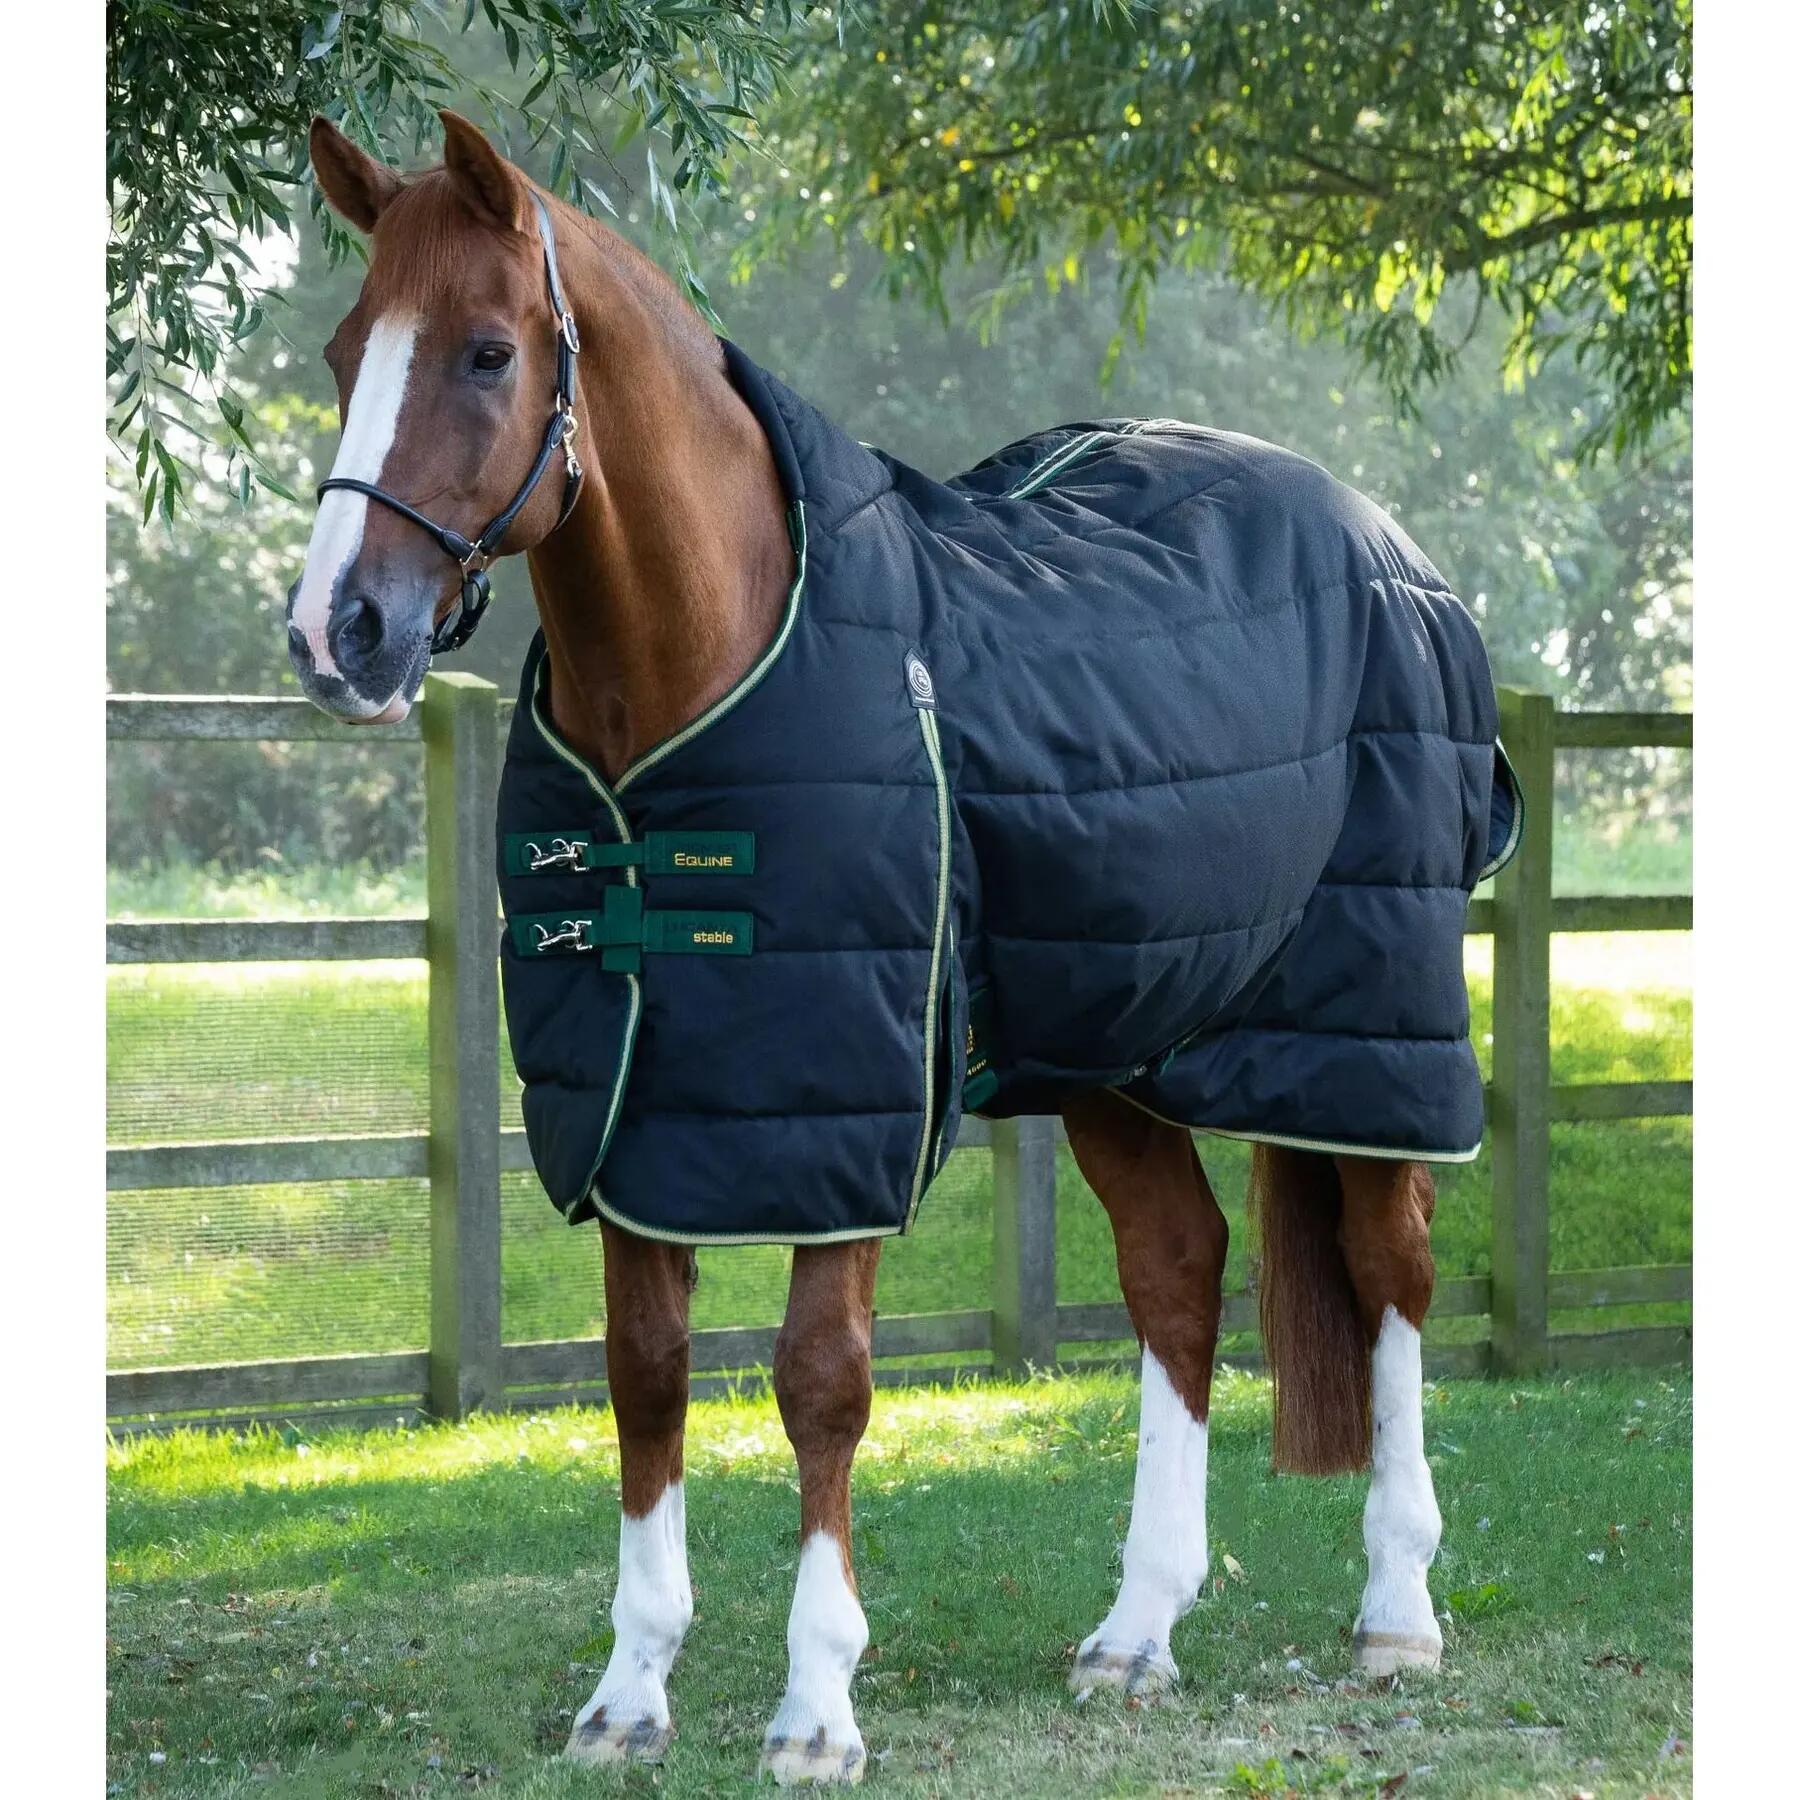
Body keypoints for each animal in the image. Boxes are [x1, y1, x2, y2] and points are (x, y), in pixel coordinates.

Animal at [286, 111, 1462, 1784]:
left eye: (487, 353)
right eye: (343, 350)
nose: (340, 633)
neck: (716, 662)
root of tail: (1383, 544)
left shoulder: (845, 1096)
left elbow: (820, 1382)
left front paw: (816, 1706)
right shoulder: (646, 1104)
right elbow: (645, 1372)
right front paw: (629, 1691)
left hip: (1373, 1028)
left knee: (1392, 1270)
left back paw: (1397, 1613)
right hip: (1116, 1046)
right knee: (1179, 1270)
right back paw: (1136, 1633)